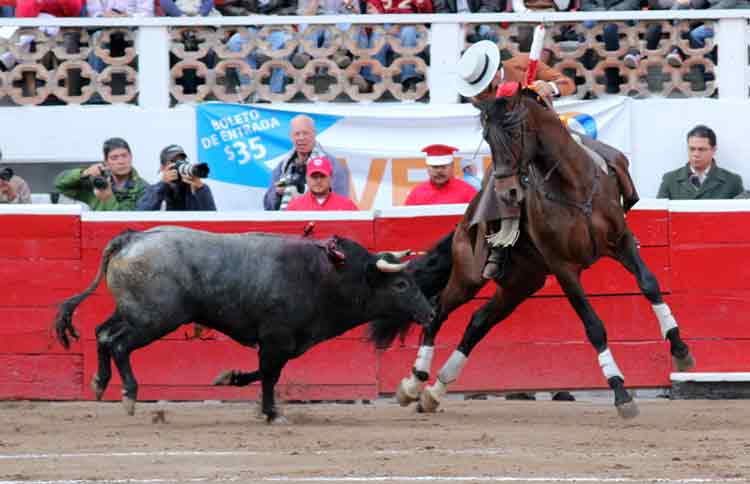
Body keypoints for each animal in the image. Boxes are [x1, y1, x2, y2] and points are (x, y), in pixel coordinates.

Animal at [55, 227, 434, 424]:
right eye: (401, 285)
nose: (430, 314)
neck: (327, 275)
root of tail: (131, 238)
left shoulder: (283, 343)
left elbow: (263, 372)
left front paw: (230, 379)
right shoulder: (277, 339)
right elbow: (269, 374)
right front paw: (270, 413)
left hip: (133, 313)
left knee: (103, 334)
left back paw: (99, 383)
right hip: (154, 319)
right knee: (118, 343)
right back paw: (129, 396)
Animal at [376, 85, 700, 418]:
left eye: (514, 132)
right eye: (487, 137)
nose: (508, 192)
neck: (574, 187)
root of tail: (463, 222)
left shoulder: (621, 241)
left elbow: (649, 284)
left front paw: (680, 350)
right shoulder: (564, 267)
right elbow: (594, 325)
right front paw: (621, 392)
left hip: (520, 284)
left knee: (478, 322)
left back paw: (435, 391)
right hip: (469, 276)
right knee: (438, 311)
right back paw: (413, 383)